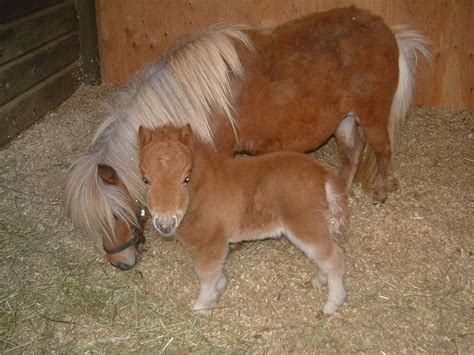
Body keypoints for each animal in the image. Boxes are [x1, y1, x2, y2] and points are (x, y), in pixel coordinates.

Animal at [65, 6, 432, 270]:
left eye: (116, 215)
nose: (120, 262)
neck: (192, 101)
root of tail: (387, 30)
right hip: (343, 121)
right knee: (352, 157)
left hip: (372, 117)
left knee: (382, 151)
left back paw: (380, 192)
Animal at [139, 124, 350, 314]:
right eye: (145, 180)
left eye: (186, 178)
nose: (165, 225)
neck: (201, 191)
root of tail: (322, 174)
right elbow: (217, 271)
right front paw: (218, 291)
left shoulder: (211, 241)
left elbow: (206, 274)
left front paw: (201, 306)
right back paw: (319, 281)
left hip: (305, 226)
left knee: (334, 258)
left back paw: (331, 305)